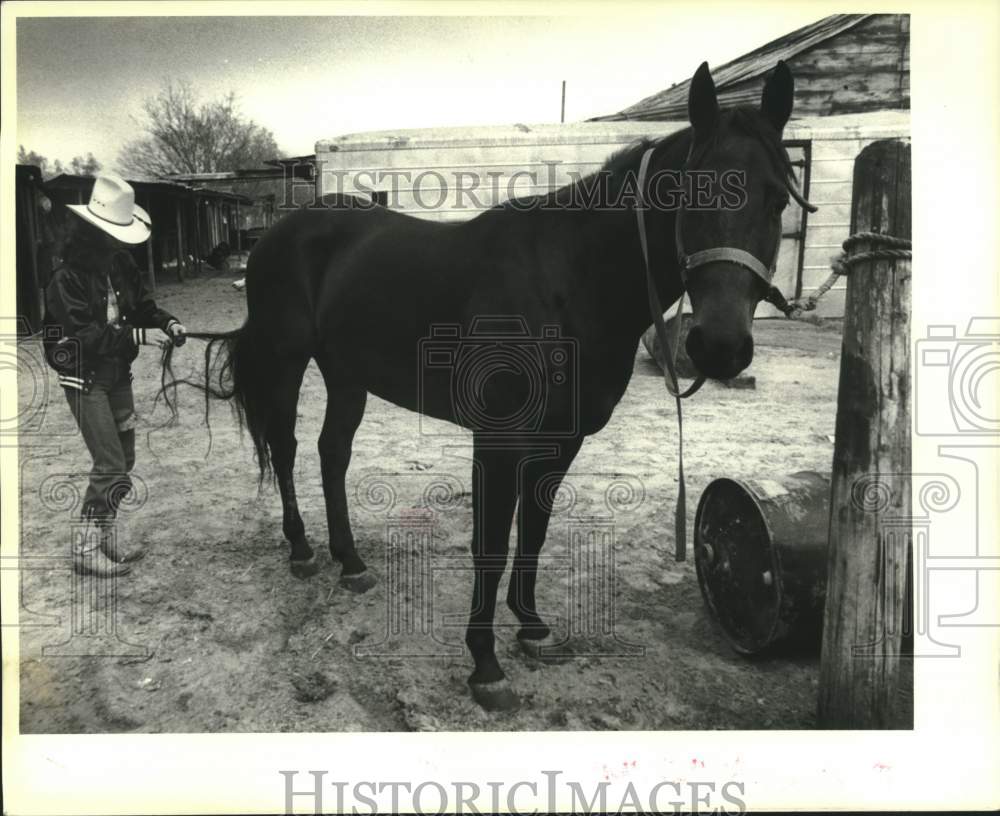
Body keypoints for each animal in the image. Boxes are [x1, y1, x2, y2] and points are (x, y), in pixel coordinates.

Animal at [172, 60, 812, 708]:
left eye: (777, 198)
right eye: (689, 193)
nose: (720, 347)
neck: (568, 283)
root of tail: (281, 230)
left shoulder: (562, 440)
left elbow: (534, 533)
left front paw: (532, 628)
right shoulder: (500, 440)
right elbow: (493, 545)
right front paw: (485, 665)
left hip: (346, 374)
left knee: (333, 454)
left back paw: (350, 562)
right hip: (286, 359)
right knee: (285, 447)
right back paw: (302, 551)